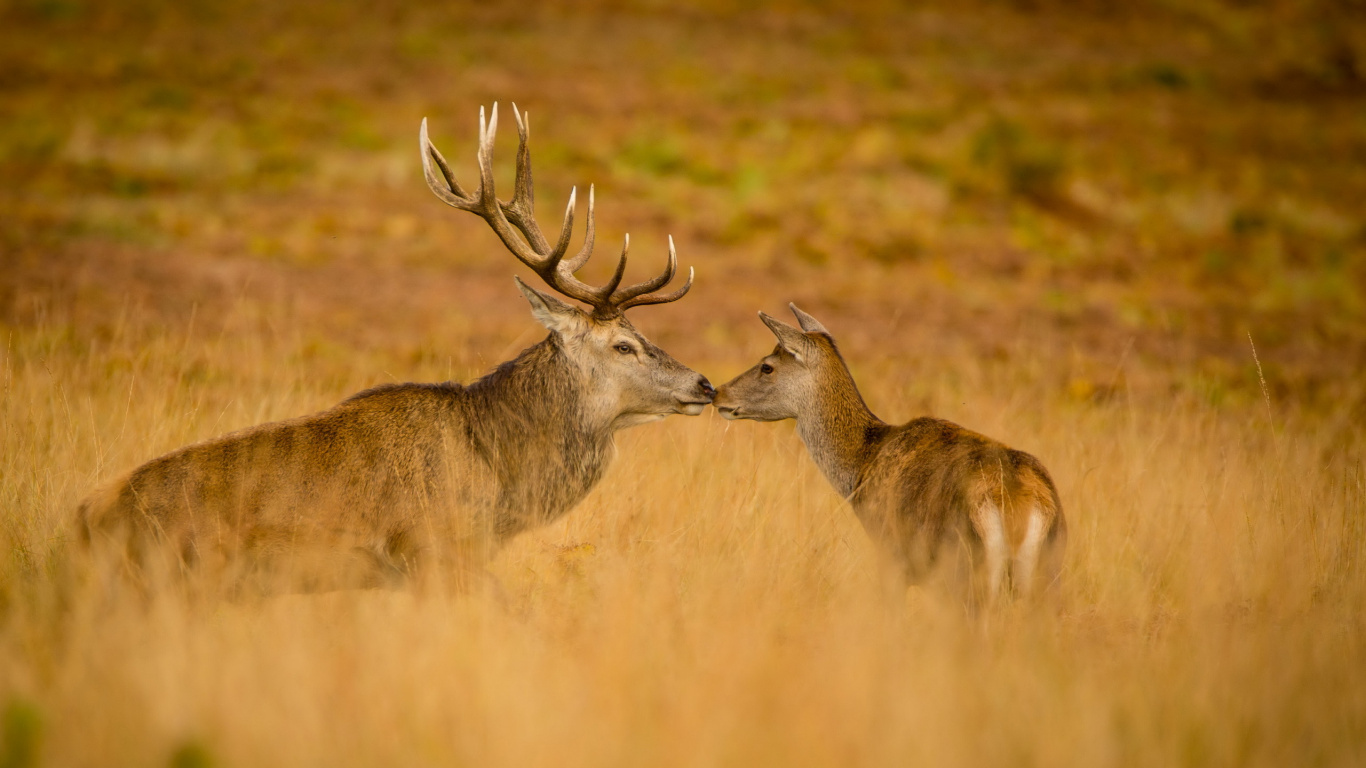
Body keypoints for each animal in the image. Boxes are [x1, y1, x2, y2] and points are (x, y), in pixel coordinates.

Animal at [712, 305, 1065, 610]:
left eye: (767, 365)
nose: (718, 393)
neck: (861, 465)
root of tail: (1020, 505)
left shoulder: (890, 555)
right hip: (1048, 574)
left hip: (964, 570)